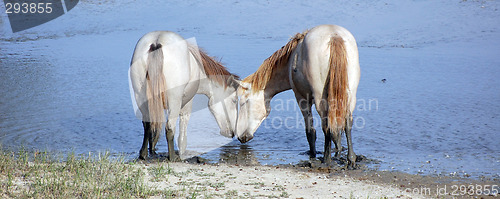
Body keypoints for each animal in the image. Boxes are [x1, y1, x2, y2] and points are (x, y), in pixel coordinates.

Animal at [128, 31, 239, 161]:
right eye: (234, 100)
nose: (233, 133)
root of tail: (156, 43)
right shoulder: (186, 104)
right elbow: (182, 134)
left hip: (140, 97)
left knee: (147, 124)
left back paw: (144, 154)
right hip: (174, 101)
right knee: (169, 128)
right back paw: (172, 158)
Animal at [237, 25, 360, 168]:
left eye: (244, 102)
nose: (240, 136)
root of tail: (334, 36)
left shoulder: (301, 98)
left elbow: (310, 131)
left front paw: (313, 154)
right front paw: (338, 150)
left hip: (320, 98)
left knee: (326, 125)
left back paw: (326, 160)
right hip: (349, 95)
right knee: (347, 122)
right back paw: (351, 159)